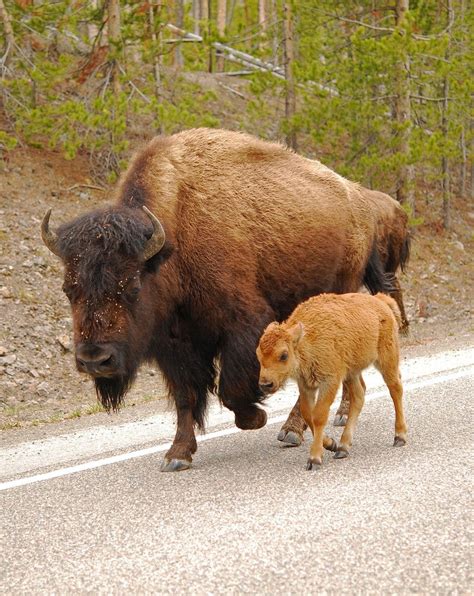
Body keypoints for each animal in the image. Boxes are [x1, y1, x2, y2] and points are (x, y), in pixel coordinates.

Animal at [42, 129, 392, 470]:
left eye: (132, 287)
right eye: (68, 290)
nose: (94, 360)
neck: (174, 238)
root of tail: (360, 200)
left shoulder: (243, 326)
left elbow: (230, 389)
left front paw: (255, 417)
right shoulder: (175, 346)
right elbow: (186, 396)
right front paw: (177, 454)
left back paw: (295, 428)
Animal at [256, 294, 408, 470]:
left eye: (283, 355)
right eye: (258, 354)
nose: (266, 384)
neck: (306, 340)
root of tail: (380, 301)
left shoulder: (329, 381)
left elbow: (319, 415)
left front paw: (314, 459)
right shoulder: (306, 385)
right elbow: (308, 415)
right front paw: (331, 444)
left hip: (386, 359)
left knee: (395, 389)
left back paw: (399, 437)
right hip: (351, 372)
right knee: (359, 396)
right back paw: (342, 447)